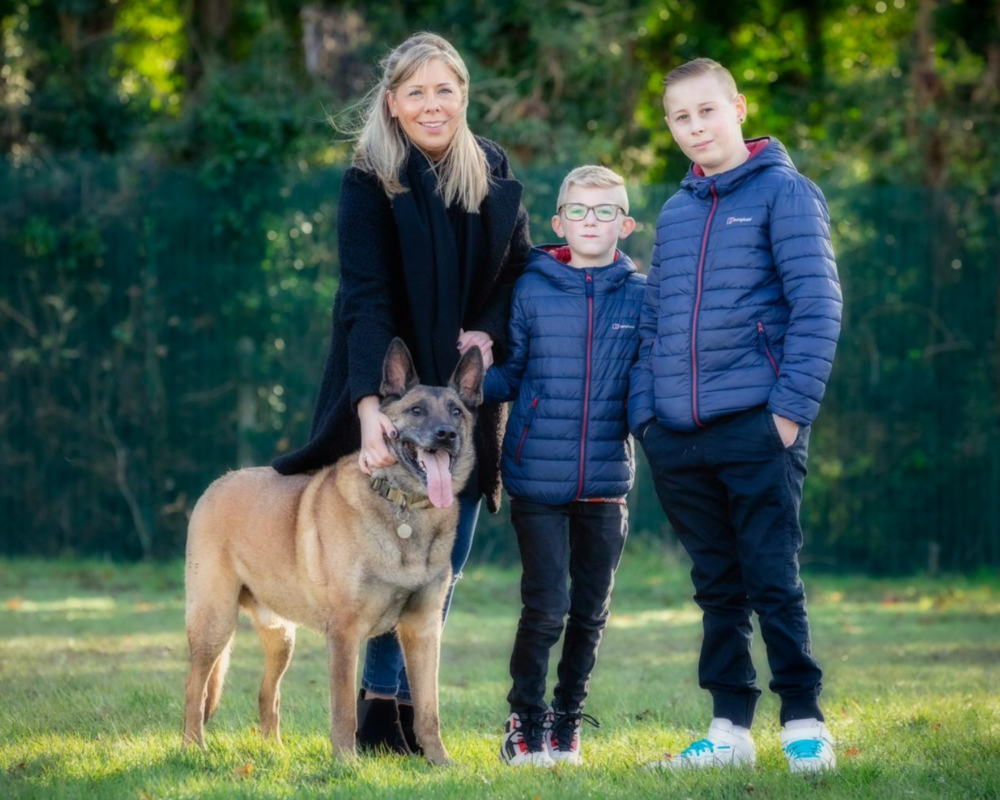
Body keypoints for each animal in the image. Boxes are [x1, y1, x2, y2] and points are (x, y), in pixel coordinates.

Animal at [185, 336, 488, 764]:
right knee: (194, 689)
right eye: (416, 410)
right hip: (214, 623)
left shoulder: (423, 630)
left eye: (456, 412)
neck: (404, 507)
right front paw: (347, 762)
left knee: (266, 695)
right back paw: (193, 748)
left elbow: (429, 711)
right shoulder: (345, 632)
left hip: (281, 637)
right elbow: (344, 708)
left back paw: (275, 752)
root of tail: (218, 483)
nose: (446, 434)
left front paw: (440, 763)